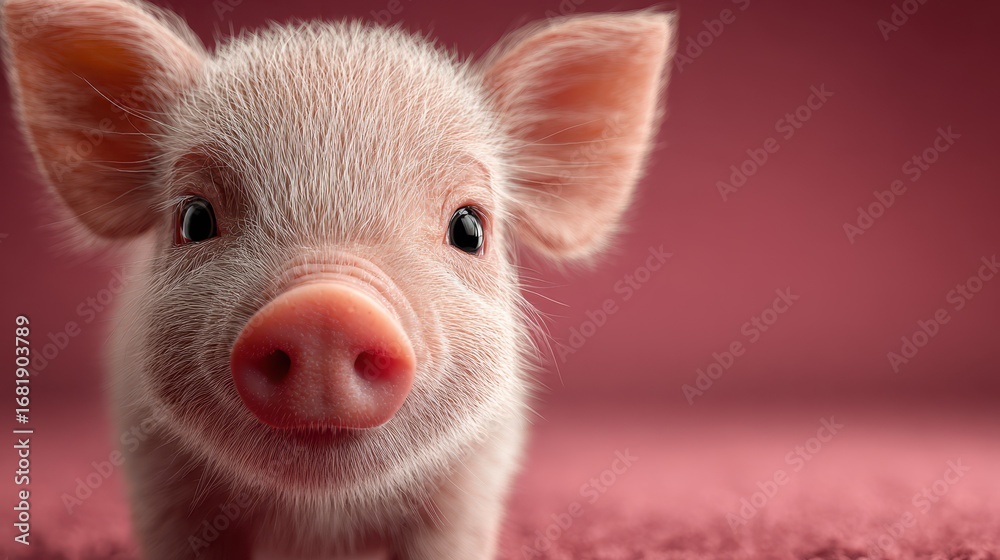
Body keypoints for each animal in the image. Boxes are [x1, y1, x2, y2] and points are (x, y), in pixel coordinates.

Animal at [1, 0, 675, 558]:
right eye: (194, 219)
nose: (325, 310)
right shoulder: (157, 479)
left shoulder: (472, 481)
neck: (319, 520)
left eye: (468, 228)